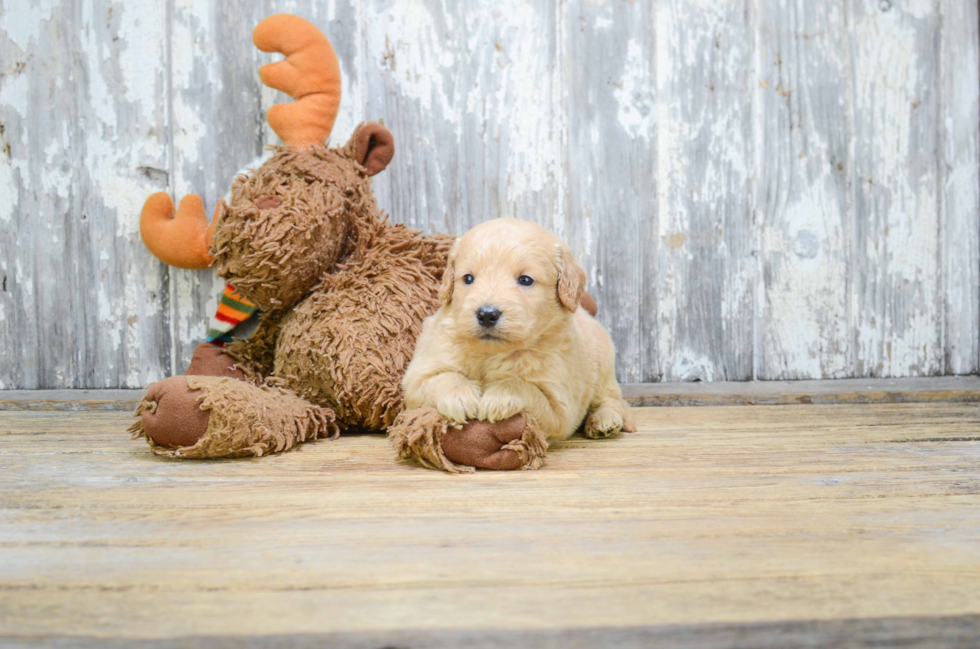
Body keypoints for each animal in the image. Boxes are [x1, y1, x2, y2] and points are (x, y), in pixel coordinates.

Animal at [400, 218, 636, 446]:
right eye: (468, 278)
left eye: (525, 280)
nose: (487, 314)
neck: (492, 353)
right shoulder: (417, 377)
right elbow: (440, 378)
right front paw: (460, 395)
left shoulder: (560, 408)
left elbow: (525, 387)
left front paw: (500, 395)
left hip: (604, 368)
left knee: (612, 400)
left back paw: (604, 421)